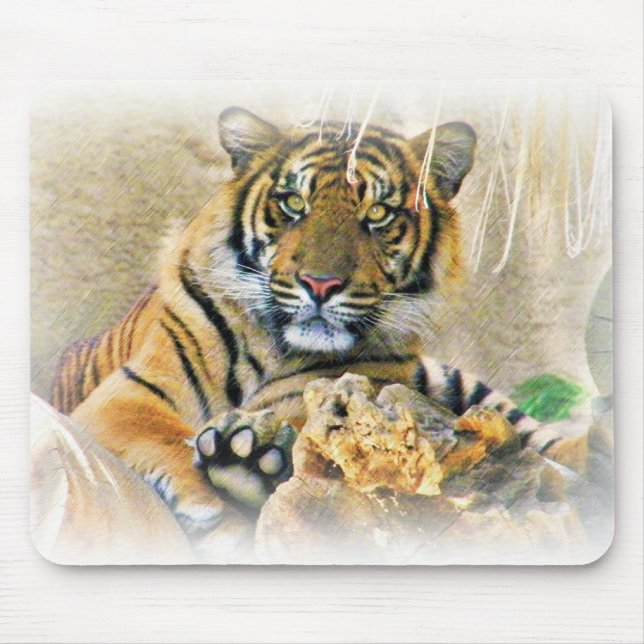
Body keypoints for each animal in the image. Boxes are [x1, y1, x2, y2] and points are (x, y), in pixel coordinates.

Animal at [51, 106, 566, 536]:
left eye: (377, 213)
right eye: (294, 203)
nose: (320, 284)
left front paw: (246, 462)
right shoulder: (130, 392)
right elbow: (167, 435)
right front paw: (218, 483)